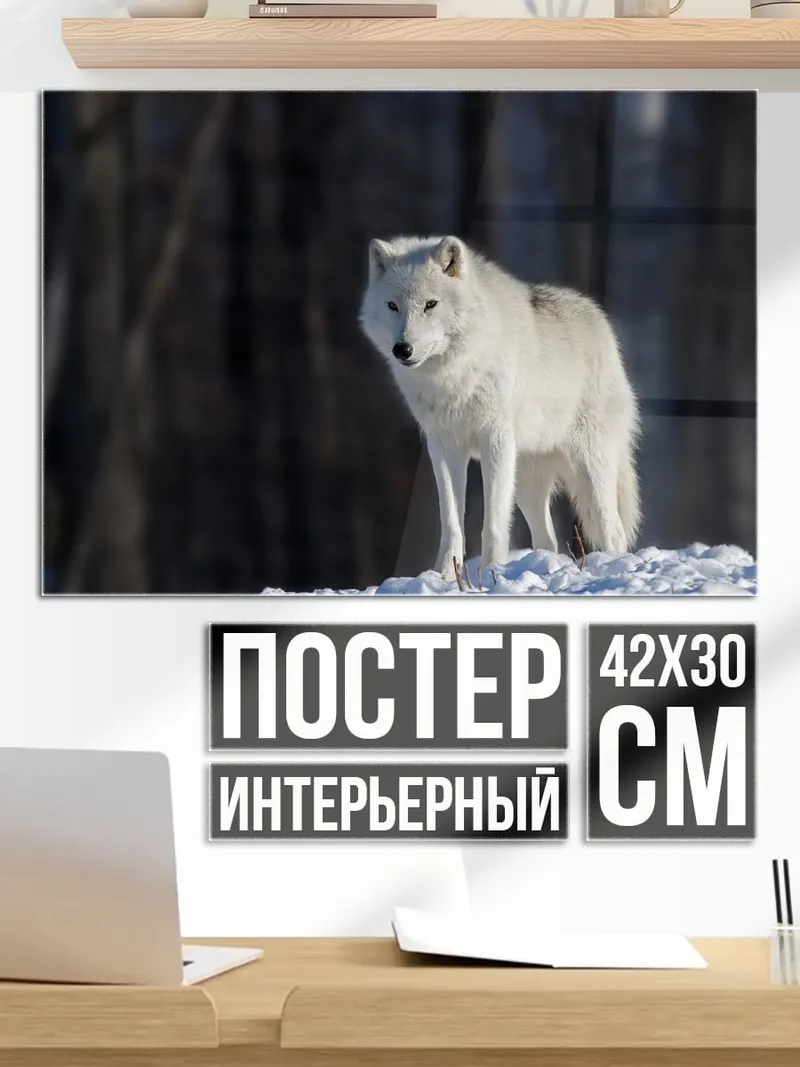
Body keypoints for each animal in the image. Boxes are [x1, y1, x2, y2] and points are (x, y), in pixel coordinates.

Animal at [359, 235, 641, 577]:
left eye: (430, 304)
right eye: (392, 306)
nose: (403, 349)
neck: (453, 374)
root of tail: (599, 319)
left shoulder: (494, 439)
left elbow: (493, 523)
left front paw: (491, 571)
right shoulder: (443, 445)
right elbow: (451, 521)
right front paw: (444, 574)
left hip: (588, 464)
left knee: (612, 529)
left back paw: (612, 567)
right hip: (525, 479)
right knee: (548, 539)